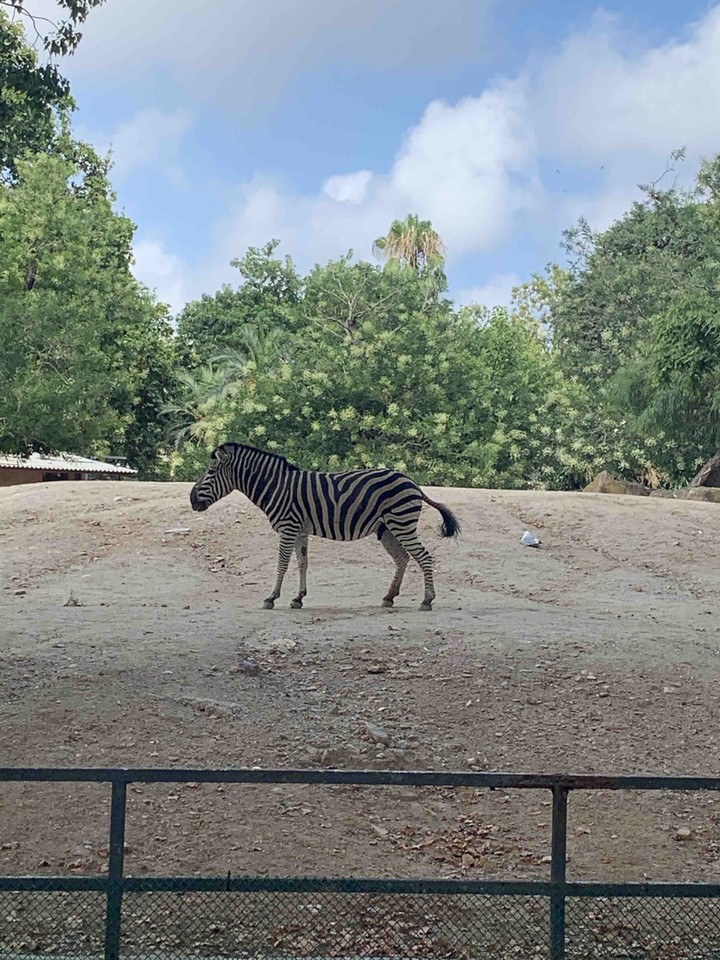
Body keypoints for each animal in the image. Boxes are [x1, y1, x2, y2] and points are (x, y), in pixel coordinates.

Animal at [189, 442, 460, 611]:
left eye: (211, 472)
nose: (192, 500)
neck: (276, 487)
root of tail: (412, 482)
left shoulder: (288, 528)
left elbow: (282, 564)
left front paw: (271, 597)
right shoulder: (299, 530)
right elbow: (302, 563)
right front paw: (298, 598)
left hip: (402, 524)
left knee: (424, 557)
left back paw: (426, 601)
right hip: (388, 529)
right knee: (403, 558)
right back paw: (389, 597)